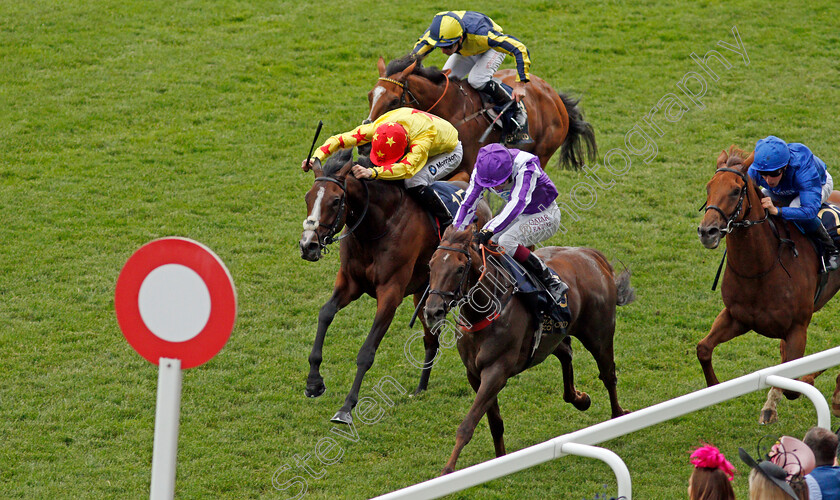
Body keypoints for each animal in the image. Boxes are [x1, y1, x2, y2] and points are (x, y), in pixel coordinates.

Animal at [298, 149, 492, 426]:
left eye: (335, 201)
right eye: (308, 197)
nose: (308, 245)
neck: (378, 225)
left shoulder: (390, 293)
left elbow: (367, 351)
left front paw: (346, 407)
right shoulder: (349, 283)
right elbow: (325, 313)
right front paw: (314, 383)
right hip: (425, 296)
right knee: (431, 337)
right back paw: (421, 388)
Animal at [364, 55, 592, 180]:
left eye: (394, 101)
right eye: (370, 96)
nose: (367, 145)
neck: (451, 112)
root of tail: (555, 97)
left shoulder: (468, 169)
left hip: (542, 154)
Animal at [424, 226, 632, 472]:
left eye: (458, 269)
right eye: (431, 265)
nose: (432, 311)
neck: (485, 312)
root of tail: (590, 255)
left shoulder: (496, 372)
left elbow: (468, 424)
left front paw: (447, 471)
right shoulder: (474, 374)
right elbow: (494, 422)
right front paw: (500, 460)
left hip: (599, 334)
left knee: (608, 374)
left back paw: (618, 416)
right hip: (551, 338)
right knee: (566, 353)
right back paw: (579, 399)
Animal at [700, 146, 840, 424]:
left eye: (735, 190)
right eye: (709, 187)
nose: (706, 231)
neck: (761, 269)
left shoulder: (798, 328)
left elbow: (792, 386)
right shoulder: (736, 317)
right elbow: (704, 348)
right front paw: (714, 387)